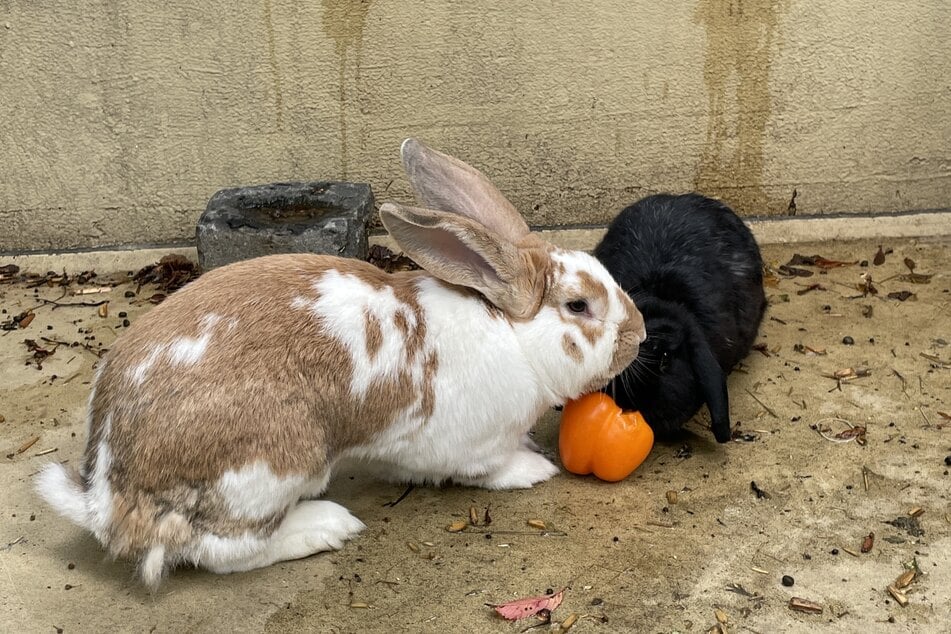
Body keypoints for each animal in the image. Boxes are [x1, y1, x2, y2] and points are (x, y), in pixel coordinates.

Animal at [37, 139, 648, 588]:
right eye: (579, 306)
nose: (640, 335)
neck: (512, 335)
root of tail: (109, 499)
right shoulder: (471, 446)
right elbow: (488, 469)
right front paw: (532, 467)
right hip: (277, 460)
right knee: (219, 549)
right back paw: (326, 527)